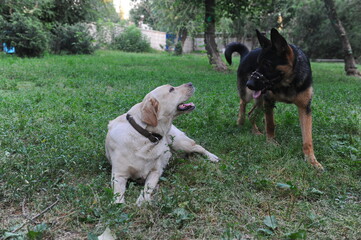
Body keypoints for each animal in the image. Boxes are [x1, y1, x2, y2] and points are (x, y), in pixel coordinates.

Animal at [225, 28, 324, 171]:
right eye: (258, 63)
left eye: (267, 64)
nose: (249, 83)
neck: (288, 83)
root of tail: (247, 53)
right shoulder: (268, 102)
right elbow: (270, 124)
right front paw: (271, 142)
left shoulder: (305, 108)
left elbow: (307, 138)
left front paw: (311, 160)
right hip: (250, 96)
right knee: (242, 103)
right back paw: (240, 120)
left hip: (259, 101)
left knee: (251, 113)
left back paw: (255, 131)